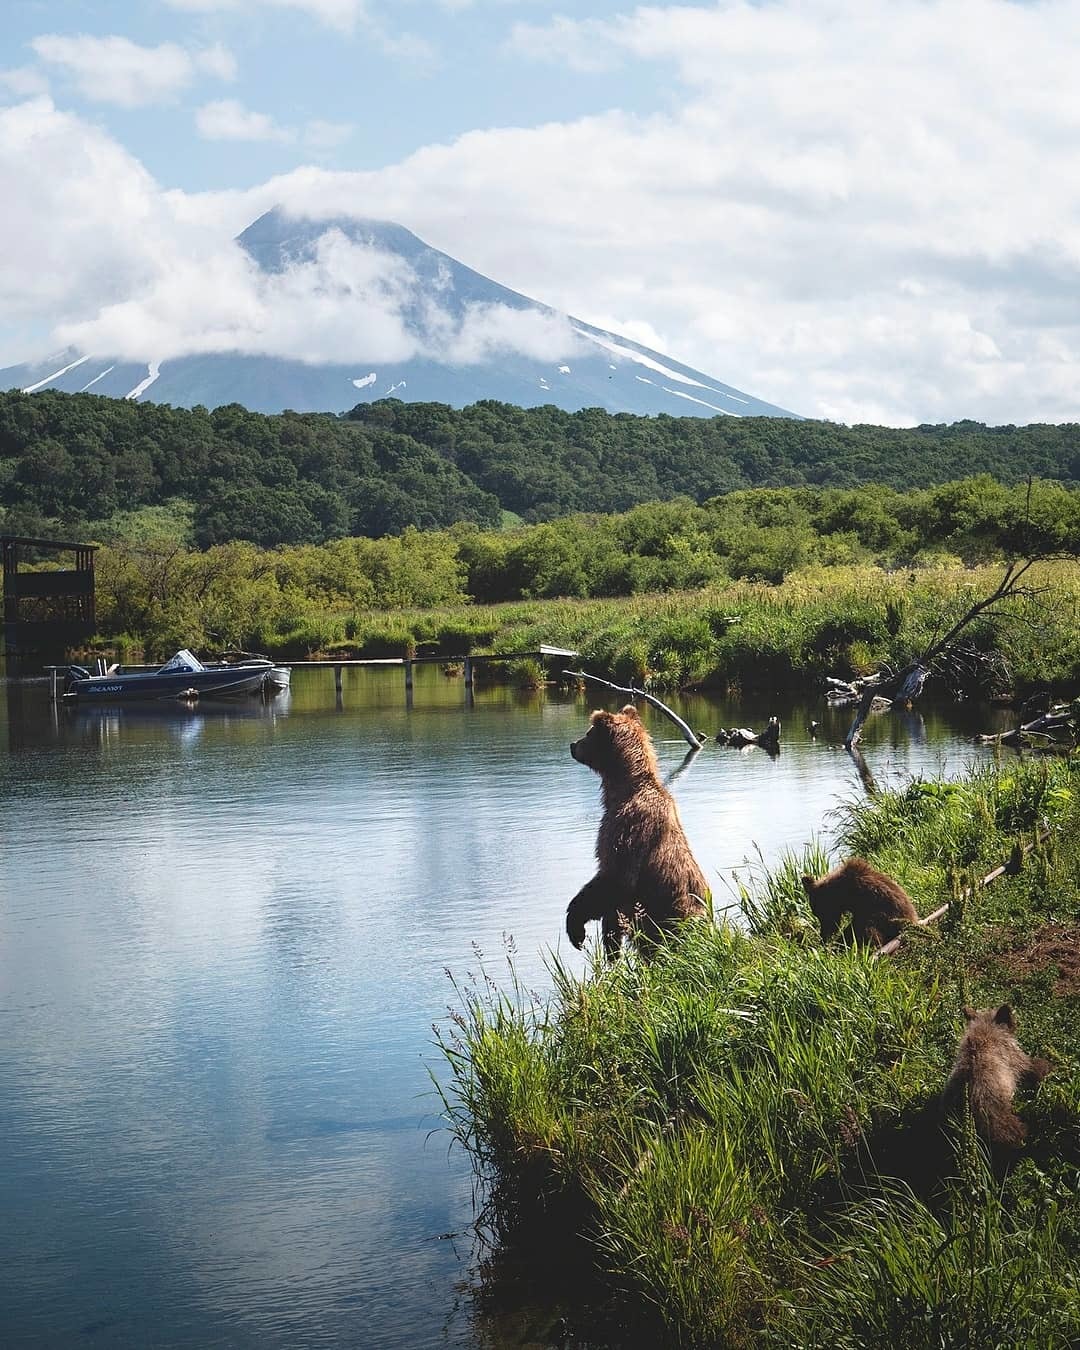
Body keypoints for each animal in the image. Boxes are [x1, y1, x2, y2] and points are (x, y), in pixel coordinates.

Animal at [564, 707, 707, 961]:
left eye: (588, 734)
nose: (573, 744)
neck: (624, 789)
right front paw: (612, 945)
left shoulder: (630, 827)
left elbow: (616, 878)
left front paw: (576, 927)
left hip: (670, 918)